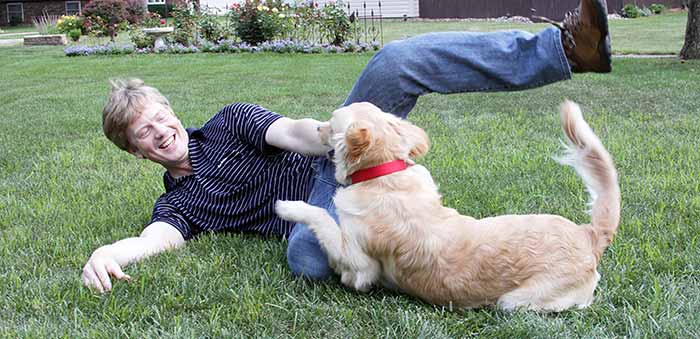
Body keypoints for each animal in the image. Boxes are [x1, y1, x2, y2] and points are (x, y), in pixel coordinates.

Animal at [276, 101, 620, 314]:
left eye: (331, 124)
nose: (315, 128)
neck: (383, 175)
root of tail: (588, 235)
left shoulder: (361, 266)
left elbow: (324, 219)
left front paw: (288, 206)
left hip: (514, 301)